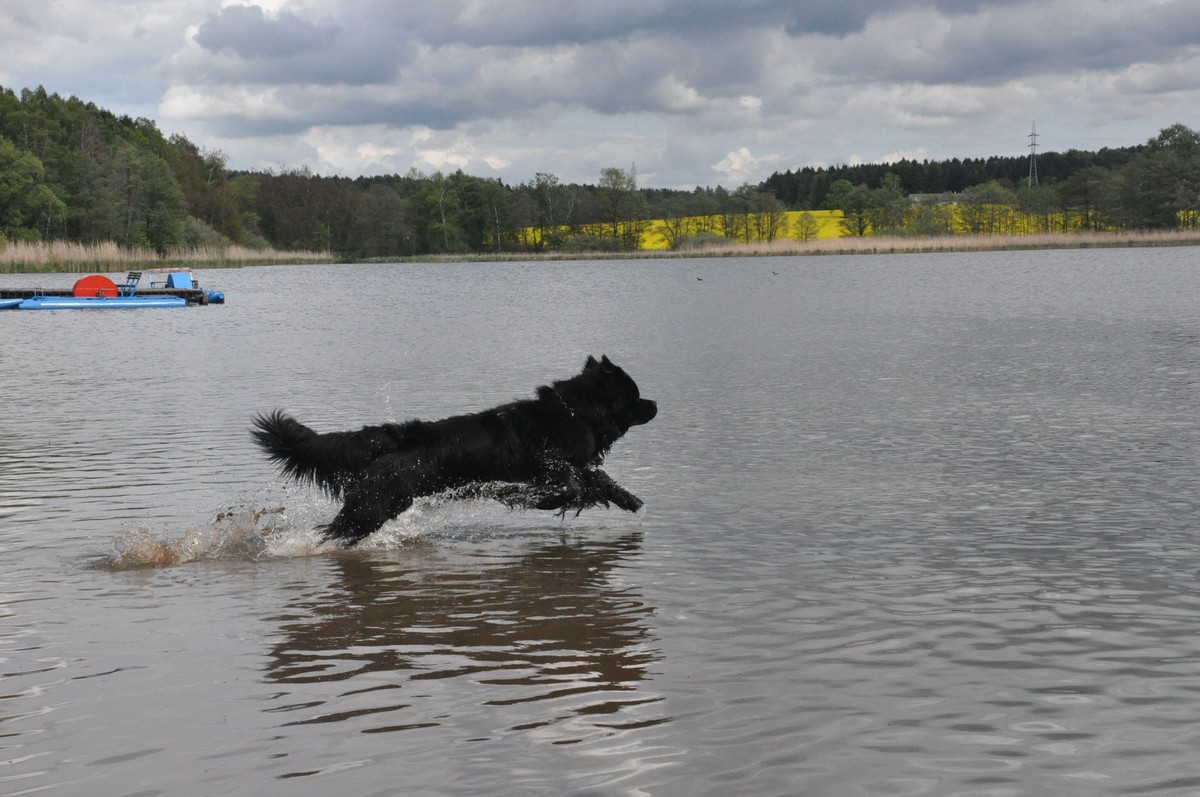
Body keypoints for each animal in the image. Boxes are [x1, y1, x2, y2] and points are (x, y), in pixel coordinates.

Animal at [251, 355, 657, 546]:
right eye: (635, 396)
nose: (656, 404)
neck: (578, 412)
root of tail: (395, 436)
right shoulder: (554, 467)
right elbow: (569, 490)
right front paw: (521, 497)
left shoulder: (577, 466)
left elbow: (600, 482)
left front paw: (632, 502)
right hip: (374, 505)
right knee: (336, 531)